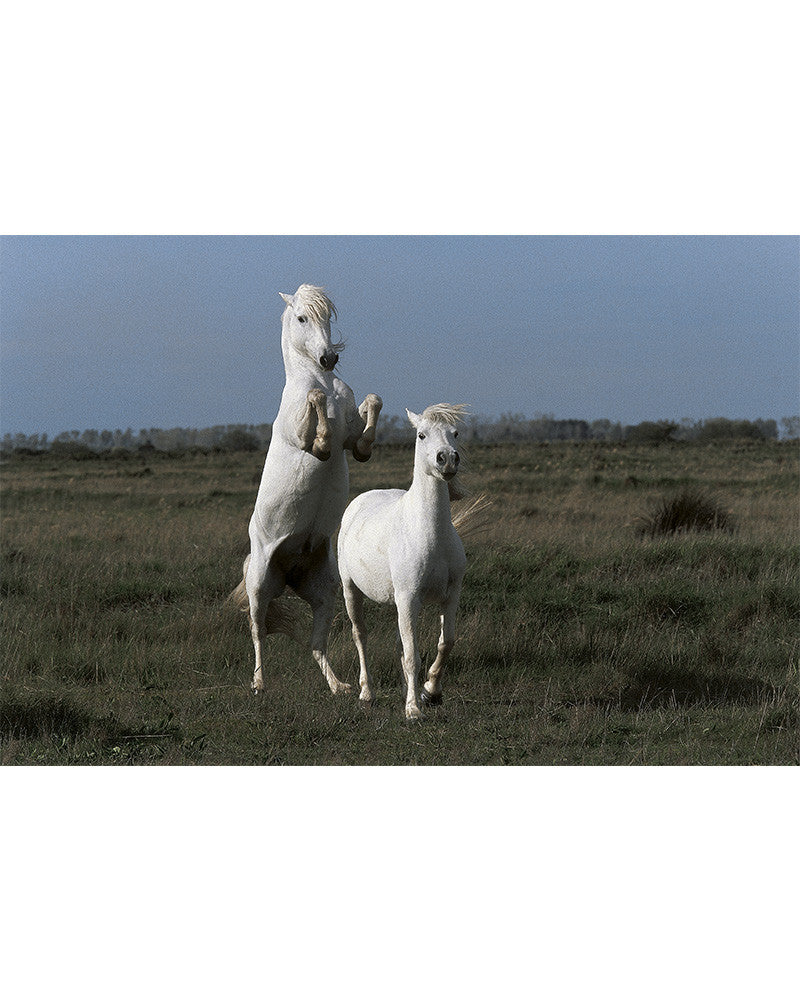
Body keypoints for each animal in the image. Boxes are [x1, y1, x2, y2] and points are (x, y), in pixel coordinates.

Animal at [234, 284, 382, 696]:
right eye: (302, 318)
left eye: (327, 317)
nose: (328, 357)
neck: (322, 382)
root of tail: (289, 571)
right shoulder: (301, 438)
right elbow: (317, 429)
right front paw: (320, 430)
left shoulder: (354, 443)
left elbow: (369, 414)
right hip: (259, 586)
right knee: (257, 632)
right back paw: (259, 683)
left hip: (324, 592)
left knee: (317, 646)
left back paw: (340, 686)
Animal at [337, 404, 468, 719]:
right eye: (421, 435)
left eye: (455, 433)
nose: (447, 459)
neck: (431, 533)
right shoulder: (409, 598)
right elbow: (411, 655)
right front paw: (413, 709)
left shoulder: (450, 596)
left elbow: (445, 643)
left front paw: (430, 691)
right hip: (350, 590)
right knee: (360, 635)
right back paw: (367, 693)